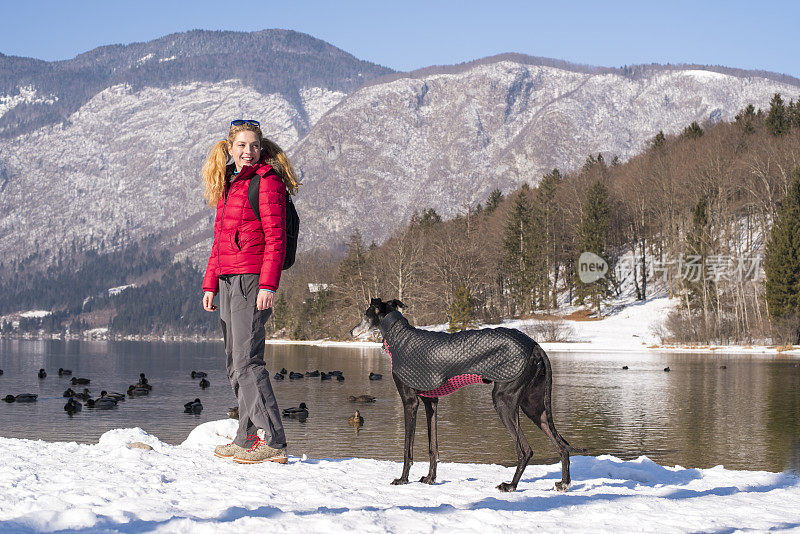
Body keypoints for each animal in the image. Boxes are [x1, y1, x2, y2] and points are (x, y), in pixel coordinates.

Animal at [350, 300, 580, 492]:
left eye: (365, 314)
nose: (351, 331)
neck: (400, 338)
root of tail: (536, 346)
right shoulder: (431, 402)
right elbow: (433, 447)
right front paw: (430, 478)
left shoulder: (410, 402)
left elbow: (407, 448)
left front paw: (402, 479)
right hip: (534, 406)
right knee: (562, 446)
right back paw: (564, 483)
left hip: (504, 400)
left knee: (525, 449)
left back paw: (511, 485)